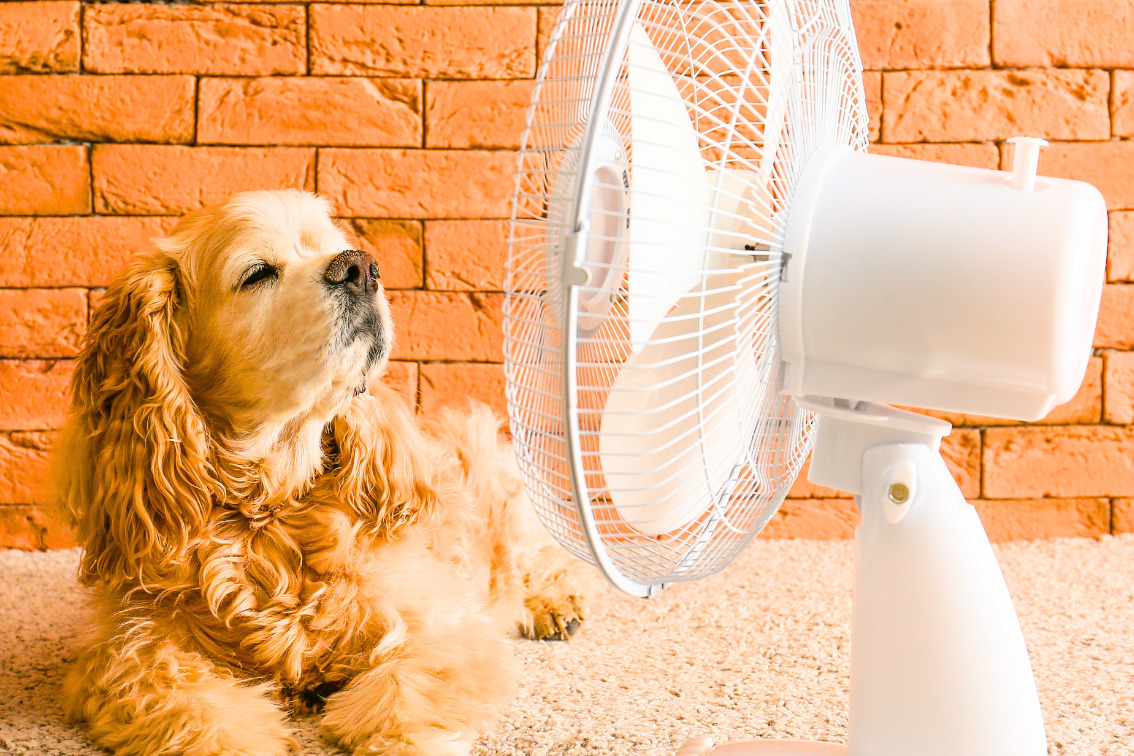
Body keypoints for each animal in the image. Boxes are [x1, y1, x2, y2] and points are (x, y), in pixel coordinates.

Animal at [51, 189, 594, 756]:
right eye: (258, 272)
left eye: (335, 248)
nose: (362, 267)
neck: (268, 509)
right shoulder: (137, 652)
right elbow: (205, 717)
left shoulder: (442, 630)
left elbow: (404, 700)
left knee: (538, 550)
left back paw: (557, 603)